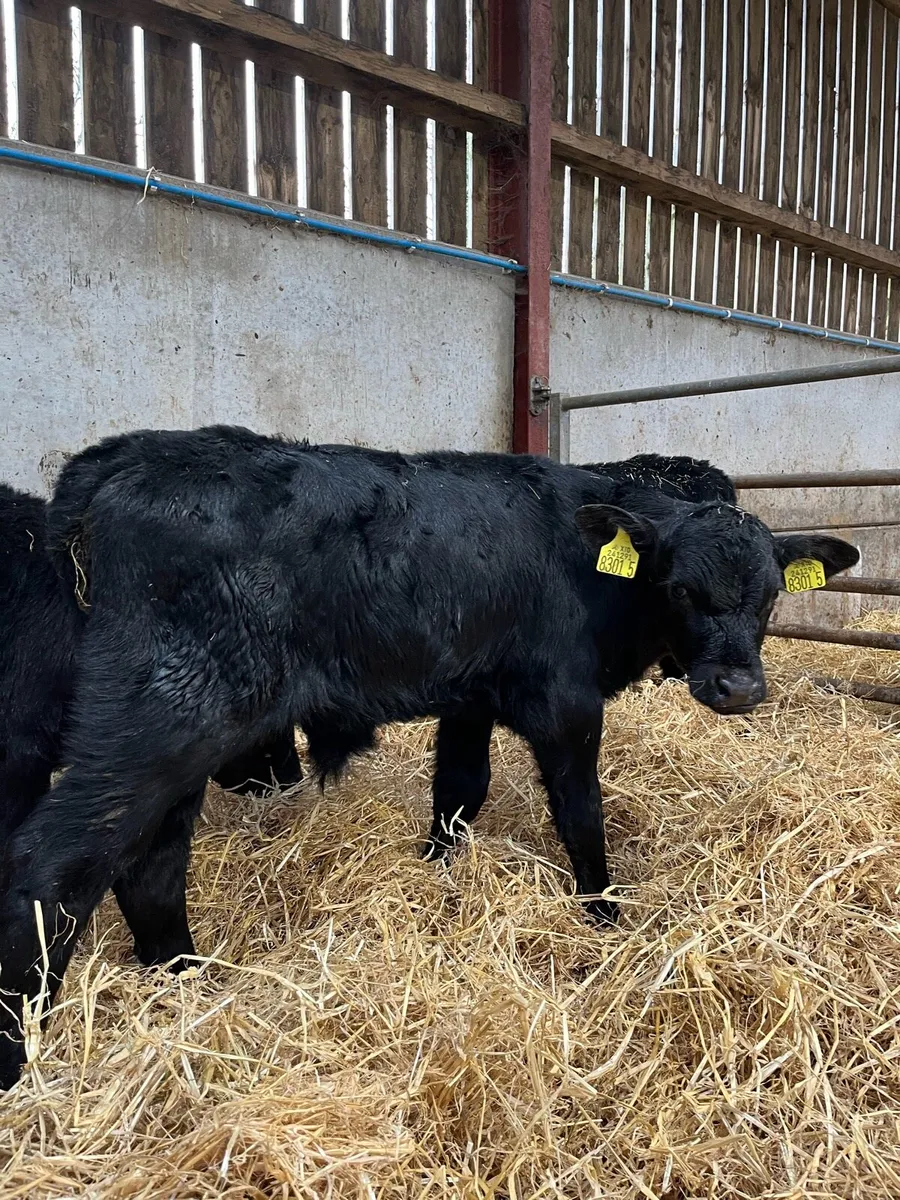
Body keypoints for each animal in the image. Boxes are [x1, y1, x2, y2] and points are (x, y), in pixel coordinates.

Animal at [0, 428, 858, 1087]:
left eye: (772, 593)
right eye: (679, 588)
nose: (737, 687)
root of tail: (115, 458)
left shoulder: (468, 696)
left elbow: (459, 793)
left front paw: (438, 878)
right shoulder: (567, 702)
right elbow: (582, 817)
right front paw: (605, 917)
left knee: (148, 866)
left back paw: (184, 984)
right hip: (163, 719)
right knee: (53, 863)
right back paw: (22, 1049)